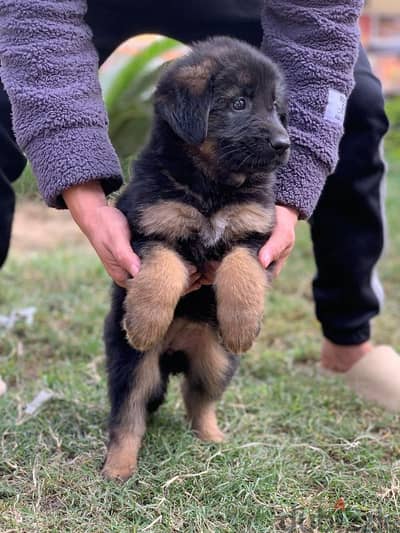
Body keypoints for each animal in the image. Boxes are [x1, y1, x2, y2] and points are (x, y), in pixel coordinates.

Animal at [102, 35, 290, 480]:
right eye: (239, 102)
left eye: (275, 105)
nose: (284, 145)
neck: (212, 186)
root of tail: (174, 353)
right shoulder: (148, 229)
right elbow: (163, 272)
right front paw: (145, 320)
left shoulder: (255, 235)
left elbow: (241, 272)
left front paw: (243, 324)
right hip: (133, 366)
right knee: (128, 417)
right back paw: (118, 468)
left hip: (216, 362)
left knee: (198, 400)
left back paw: (213, 439)